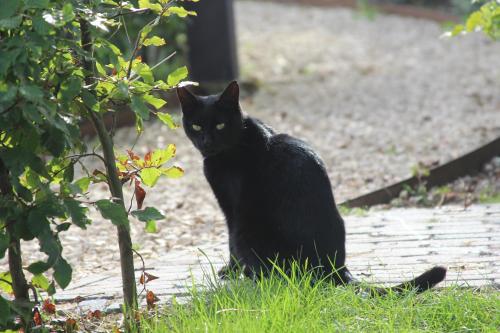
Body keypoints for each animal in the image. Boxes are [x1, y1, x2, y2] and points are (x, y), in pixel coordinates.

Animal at [178, 81, 448, 292]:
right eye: (197, 126)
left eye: (220, 125)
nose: (207, 141)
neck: (237, 143)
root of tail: (336, 269)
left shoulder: (232, 210)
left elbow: (230, 243)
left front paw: (231, 271)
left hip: (248, 231)